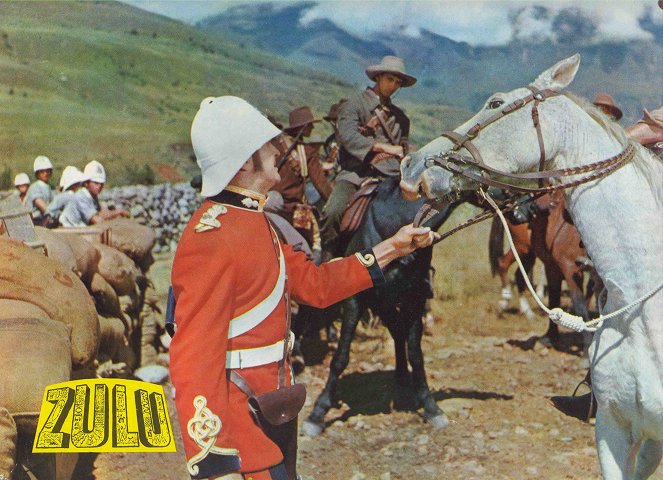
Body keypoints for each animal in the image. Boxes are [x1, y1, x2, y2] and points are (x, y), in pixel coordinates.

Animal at [304, 175, 460, 436]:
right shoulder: (356, 300)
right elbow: (340, 357)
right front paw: (318, 412)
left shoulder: (415, 299)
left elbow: (416, 355)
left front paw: (430, 405)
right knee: (395, 331)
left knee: (398, 332)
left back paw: (403, 381)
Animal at [490, 191, 592, 344]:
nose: (517, 214)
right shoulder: (563, 269)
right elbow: (564, 301)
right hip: (522, 249)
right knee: (506, 266)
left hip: (526, 253)